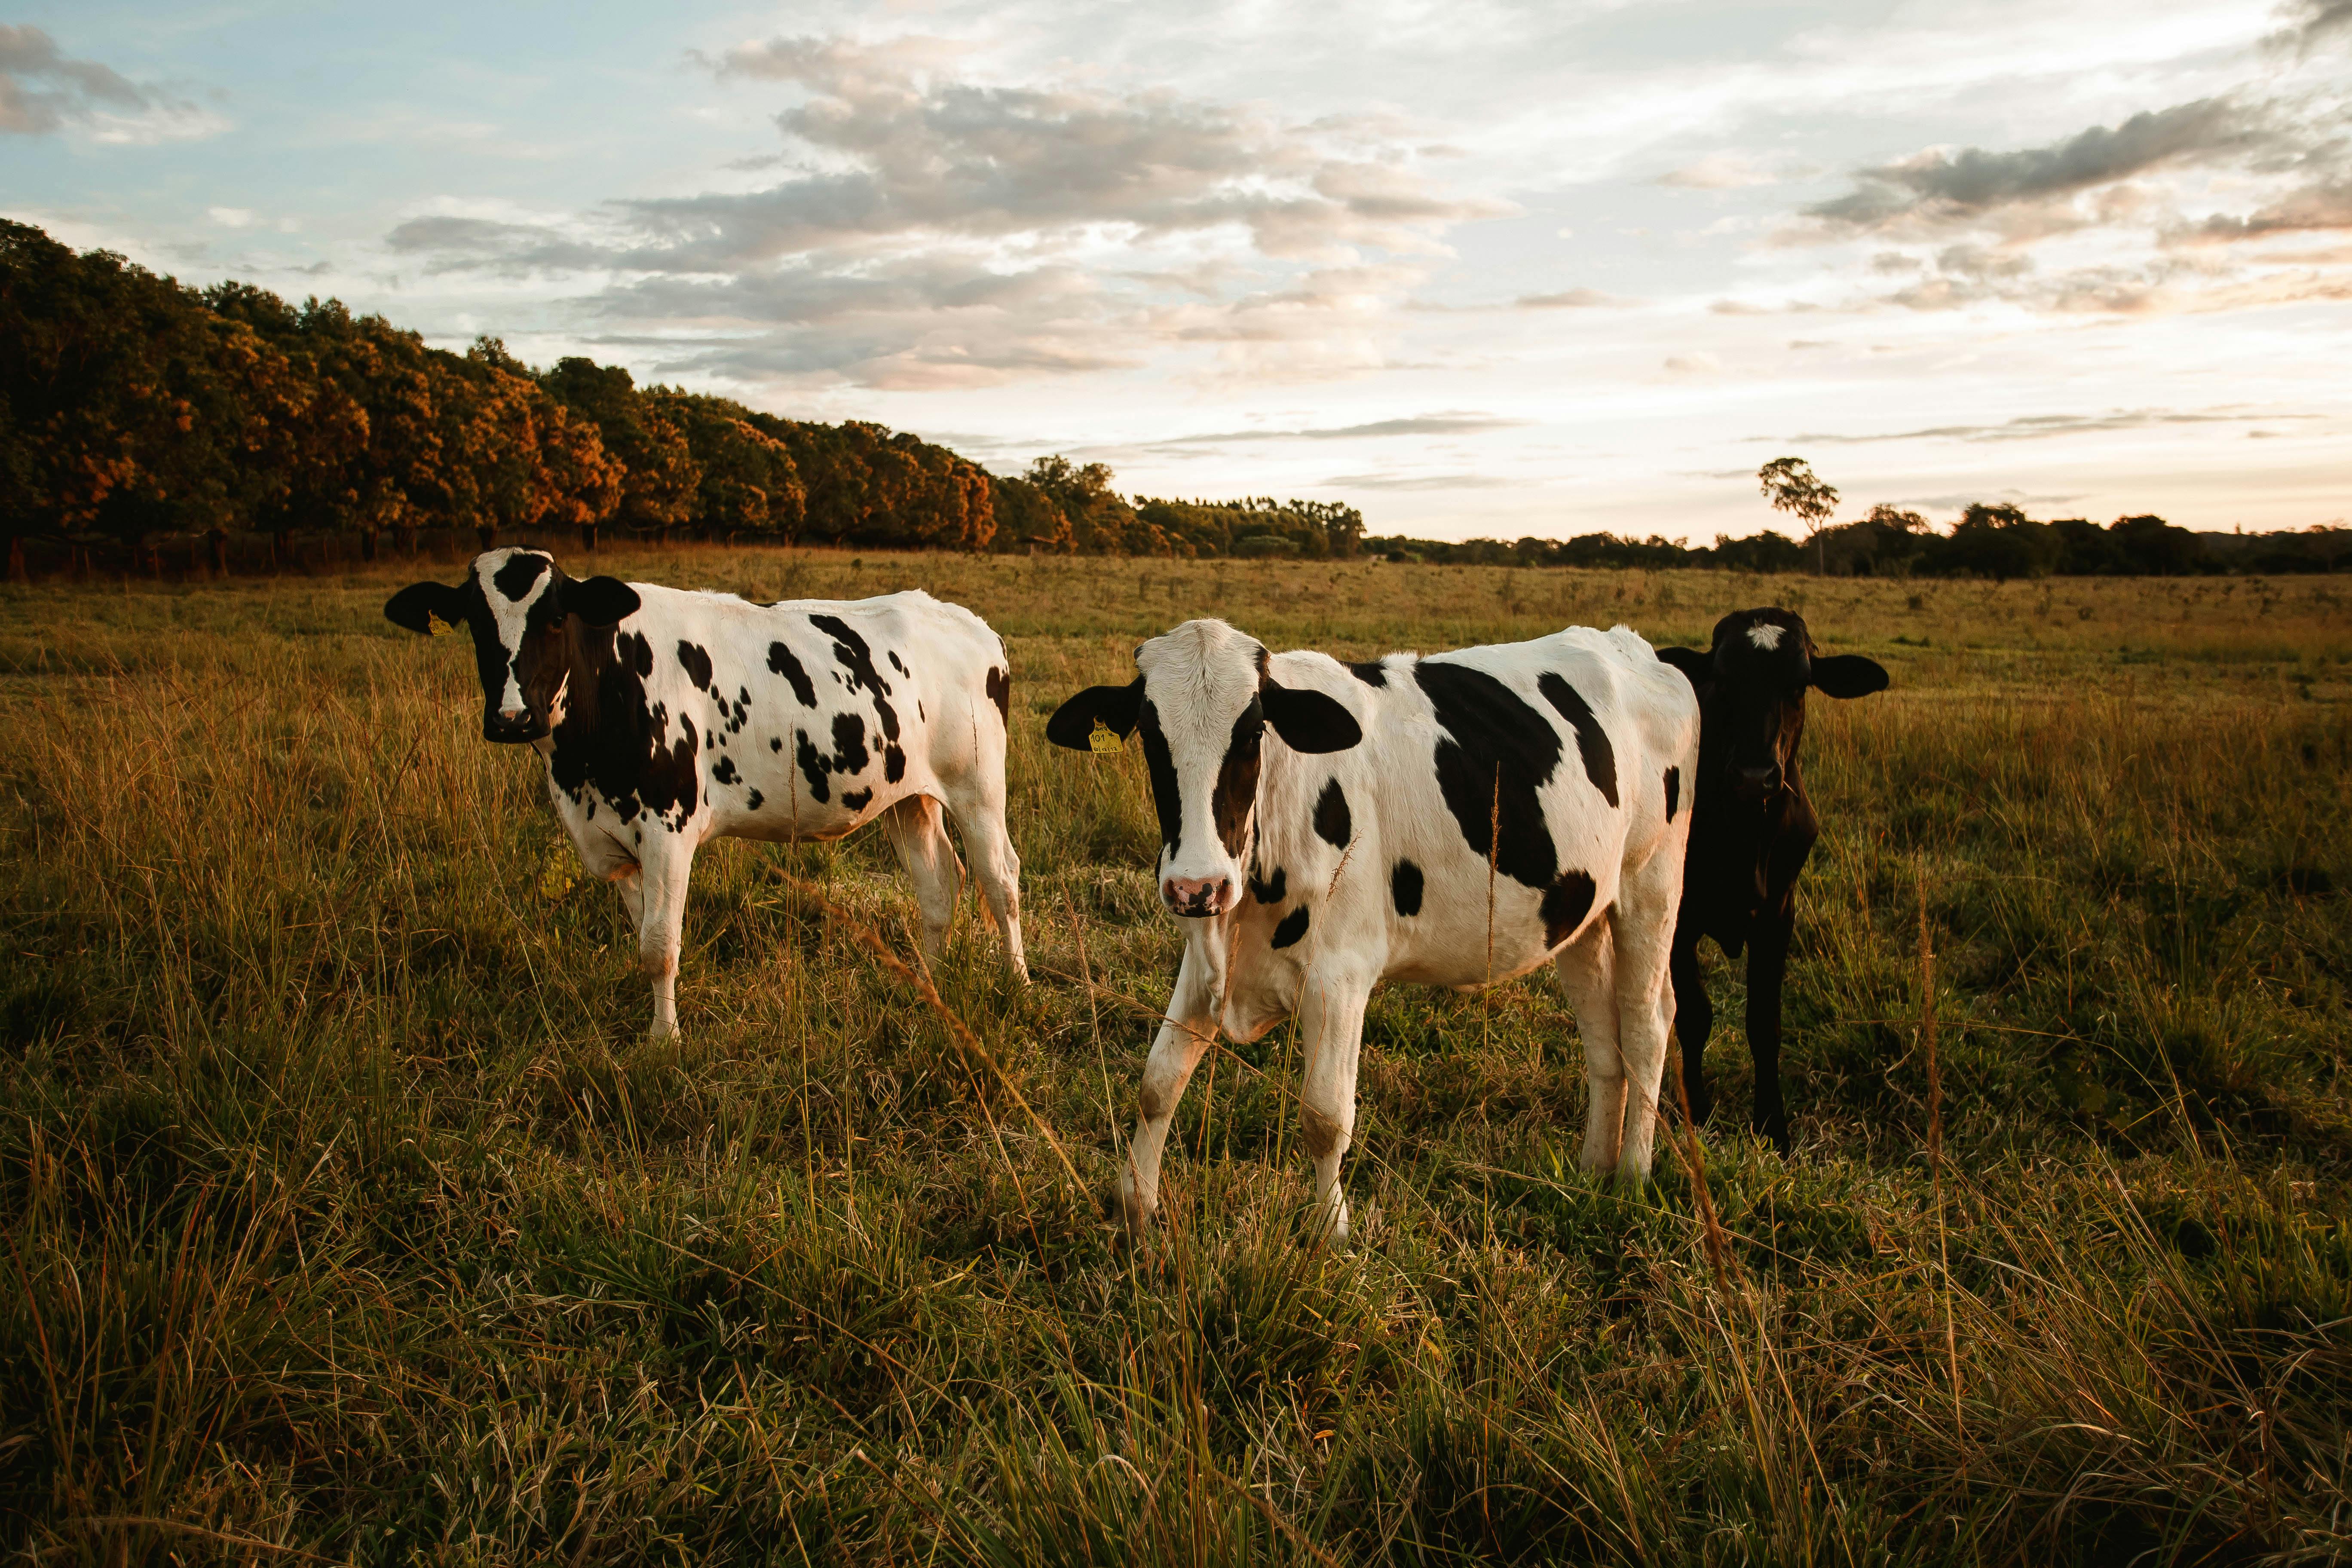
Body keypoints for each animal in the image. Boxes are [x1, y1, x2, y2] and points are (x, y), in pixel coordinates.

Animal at [385, 549, 1027, 1037]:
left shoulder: (668, 828)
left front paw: (664, 1042)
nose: (512, 718)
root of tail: (968, 621)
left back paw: (1016, 984)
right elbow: (643, 937)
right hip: (906, 796)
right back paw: (929, 986)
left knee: (1000, 880)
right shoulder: (610, 841)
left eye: (556, 618)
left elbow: (660, 943)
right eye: (474, 619)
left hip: (977, 786)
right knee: (938, 884)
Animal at [1048, 618, 1699, 1245]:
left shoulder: (1339, 976)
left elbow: (1325, 1115)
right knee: (1603, 1037)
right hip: (1582, 909)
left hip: (1651, 884)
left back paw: (1633, 1177)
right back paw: (1593, 1171)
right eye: (1149, 734)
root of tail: (1635, 647)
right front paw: (1135, 1210)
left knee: (1646, 1024)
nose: (1196, 886)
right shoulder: (1207, 961)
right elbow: (1158, 1082)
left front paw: (1331, 1231)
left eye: (1254, 734)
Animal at [1653, 607, 1889, 1153]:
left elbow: (1765, 1023)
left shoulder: (1779, 914)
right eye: (1722, 678)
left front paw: (1773, 1126)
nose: (1754, 775)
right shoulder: (1681, 919)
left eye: (1799, 684)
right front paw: (1699, 1110)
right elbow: (1695, 1015)